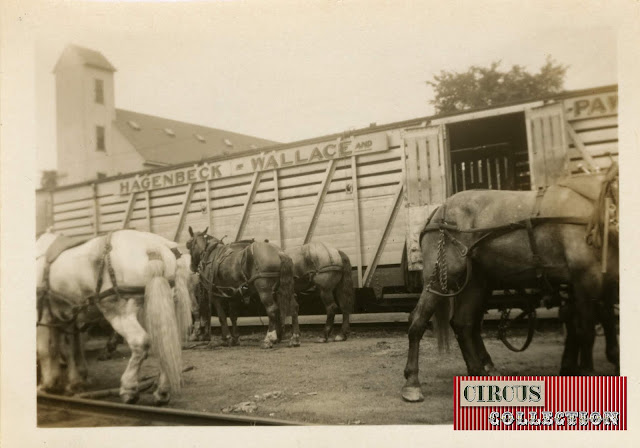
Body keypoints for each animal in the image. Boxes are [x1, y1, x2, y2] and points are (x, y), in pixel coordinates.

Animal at [37, 229, 192, 404]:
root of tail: (156, 246)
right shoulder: (66, 317)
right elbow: (68, 349)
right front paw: (74, 382)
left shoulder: (43, 316)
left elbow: (45, 350)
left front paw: (47, 385)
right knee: (167, 341)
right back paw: (162, 391)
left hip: (119, 311)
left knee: (140, 342)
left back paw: (129, 388)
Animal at [402, 164, 616, 402]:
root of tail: (439, 212)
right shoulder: (586, 278)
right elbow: (586, 330)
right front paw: (586, 371)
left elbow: (597, 321)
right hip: (440, 278)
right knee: (418, 321)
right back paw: (412, 383)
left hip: (476, 283)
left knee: (463, 323)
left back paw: (478, 372)